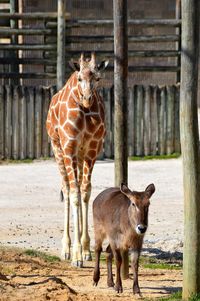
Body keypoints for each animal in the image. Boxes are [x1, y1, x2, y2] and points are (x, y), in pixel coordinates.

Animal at [46, 52, 108, 266]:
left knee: (80, 188)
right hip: (58, 149)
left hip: (79, 156)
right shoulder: (69, 147)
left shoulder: (92, 149)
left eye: (98, 78)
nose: (88, 98)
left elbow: (86, 192)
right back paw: (66, 249)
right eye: (80, 78)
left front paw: (86, 249)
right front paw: (76, 255)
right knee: (66, 188)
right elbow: (73, 194)